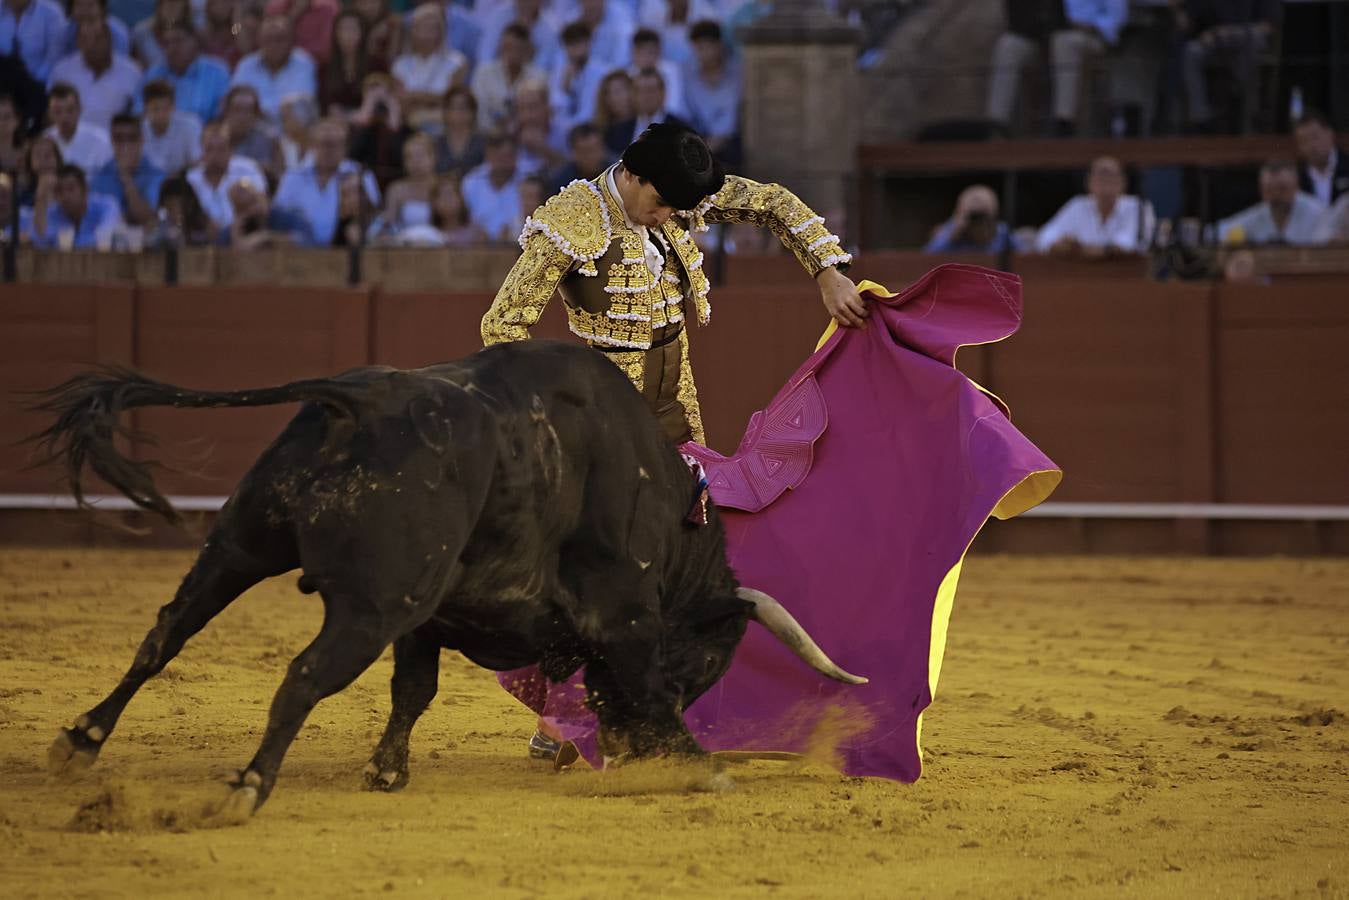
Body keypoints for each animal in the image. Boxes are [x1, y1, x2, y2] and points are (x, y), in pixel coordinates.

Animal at [34, 340, 863, 814]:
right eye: (710, 659)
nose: (626, 752)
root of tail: (358, 396)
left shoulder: (427, 621)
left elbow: (414, 692)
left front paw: (385, 772)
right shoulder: (623, 616)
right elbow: (649, 691)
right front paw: (699, 768)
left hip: (240, 548)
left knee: (165, 635)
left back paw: (81, 740)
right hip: (367, 607)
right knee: (302, 675)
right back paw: (246, 787)